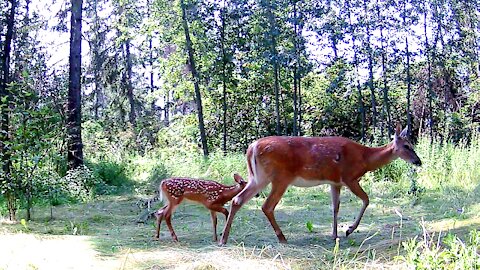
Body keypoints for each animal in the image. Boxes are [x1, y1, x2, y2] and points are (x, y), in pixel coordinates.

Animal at [219, 124, 422, 245]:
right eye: (407, 146)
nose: (418, 161)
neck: (365, 159)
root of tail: (252, 148)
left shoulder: (335, 182)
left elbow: (335, 207)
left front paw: (335, 234)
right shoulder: (349, 178)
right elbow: (366, 199)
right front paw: (349, 230)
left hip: (258, 177)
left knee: (238, 200)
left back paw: (224, 238)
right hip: (280, 178)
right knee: (267, 206)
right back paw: (282, 238)